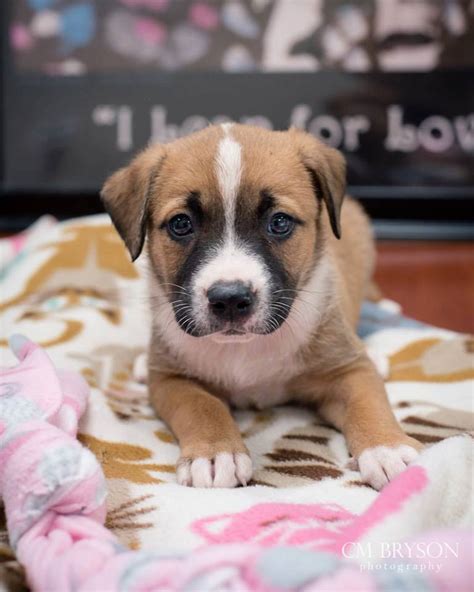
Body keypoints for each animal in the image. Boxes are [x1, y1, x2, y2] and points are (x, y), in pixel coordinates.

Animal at [102, 123, 420, 490]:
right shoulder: (171, 380)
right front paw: (215, 453)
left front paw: (387, 448)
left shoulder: (348, 370)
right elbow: (202, 406)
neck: (245, 349)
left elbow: (368, 403)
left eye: (279, 222)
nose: (229, 299)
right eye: (181, 224)